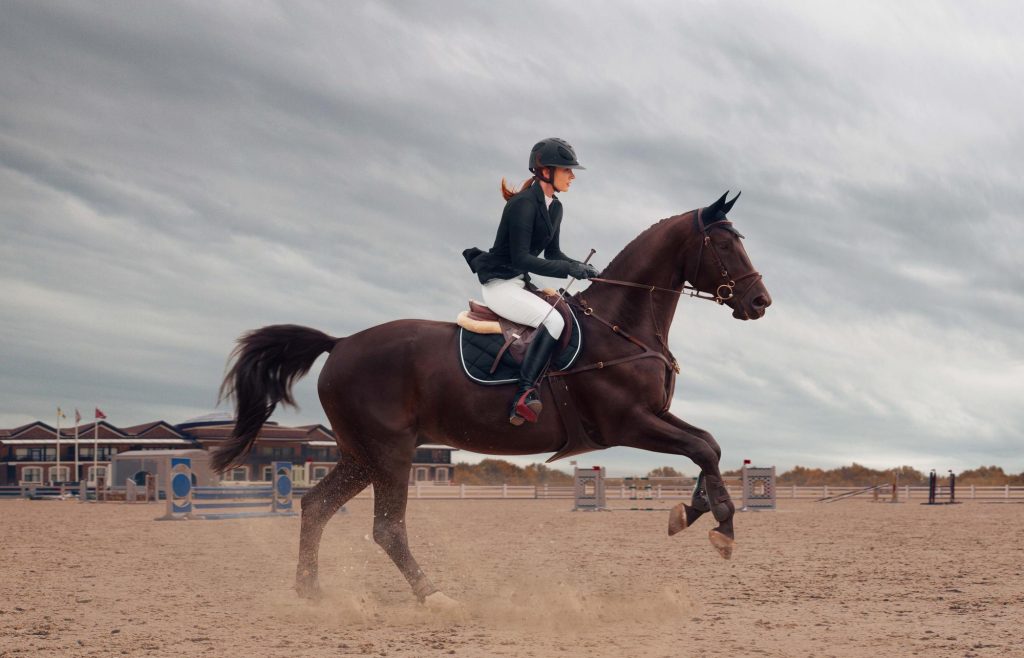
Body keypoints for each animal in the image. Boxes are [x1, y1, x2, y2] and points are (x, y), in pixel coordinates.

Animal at [211, 190, 770, 605]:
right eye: (724, 246)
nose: (760, 301)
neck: (621, 325)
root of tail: (340, 343)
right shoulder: (628, 422)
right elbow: (700, 448)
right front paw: (721, 527)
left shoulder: (655, 414)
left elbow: (710, 445)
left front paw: (692, 512)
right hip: (389, 452)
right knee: (386, 527)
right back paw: (432, 595)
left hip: (359, 454)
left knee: (315, 507)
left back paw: (310, 592)